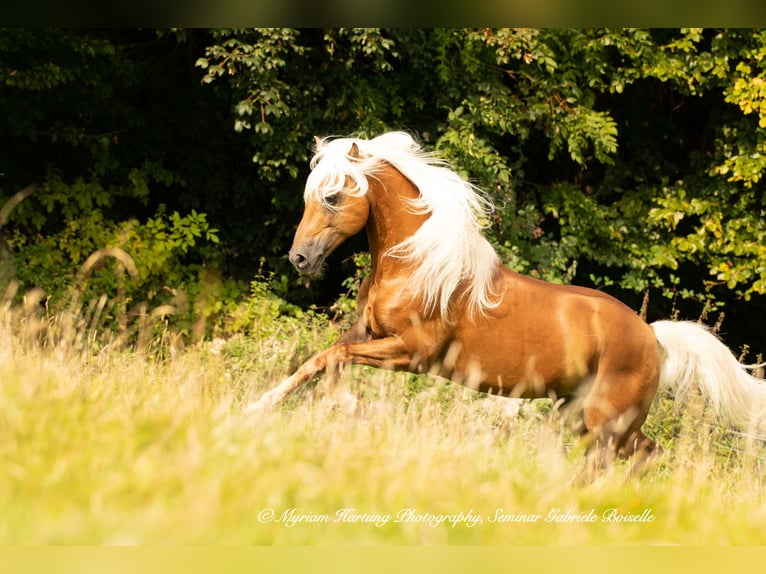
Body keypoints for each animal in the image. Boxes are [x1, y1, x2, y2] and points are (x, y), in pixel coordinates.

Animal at [250, 130, 766, 464]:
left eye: (334, 197)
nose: (299, 258)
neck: (418, 263)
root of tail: (651, 334)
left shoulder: (409, 353)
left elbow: (333, 362)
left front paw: (347, 407)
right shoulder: (367, 334)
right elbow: (319, 360)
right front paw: (258, 407)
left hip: (608, 419)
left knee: (628, 459)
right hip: (581, 415)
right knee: (638, 457)